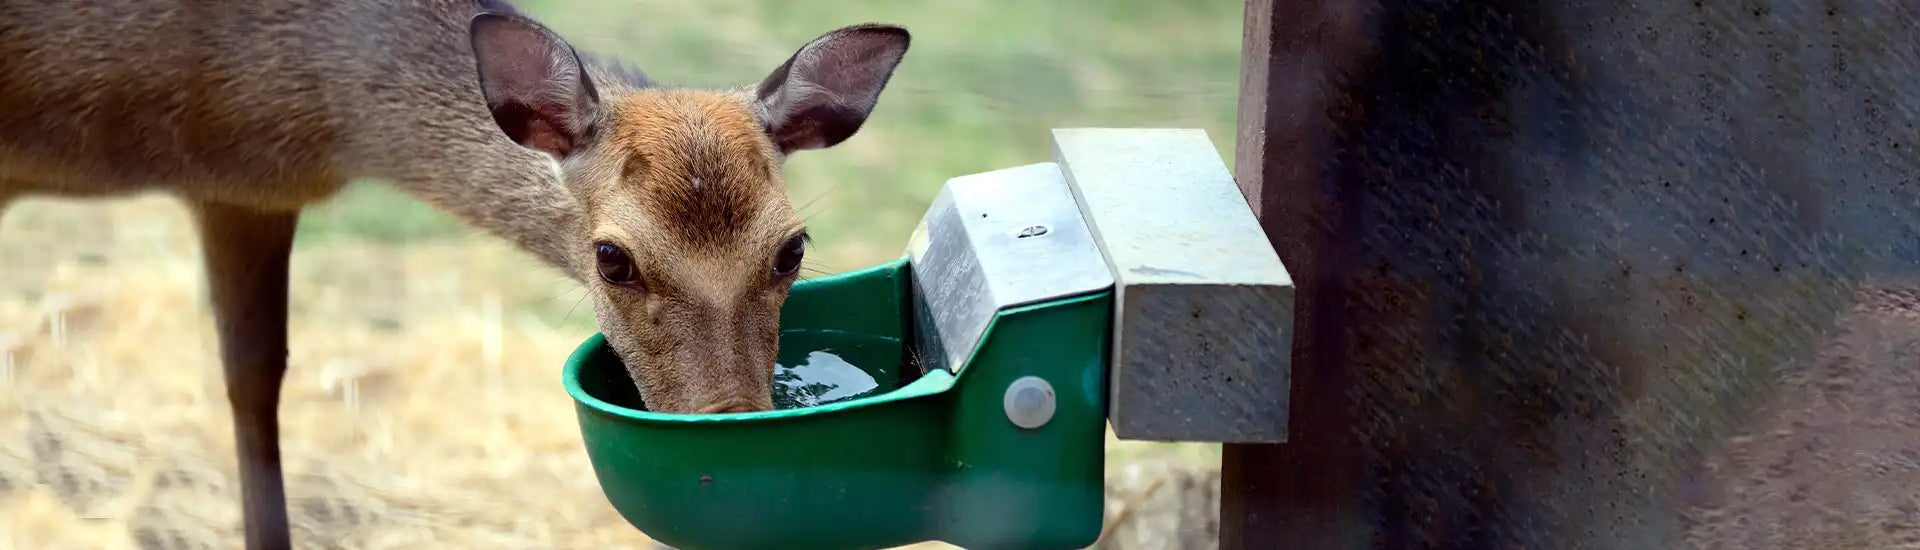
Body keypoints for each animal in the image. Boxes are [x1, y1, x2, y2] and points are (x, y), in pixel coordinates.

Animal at [0, 0, 910, 548]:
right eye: (612, 257)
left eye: (793, 248)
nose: (732, 426)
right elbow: (247, 386)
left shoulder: (246, 189)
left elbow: (256, 380)